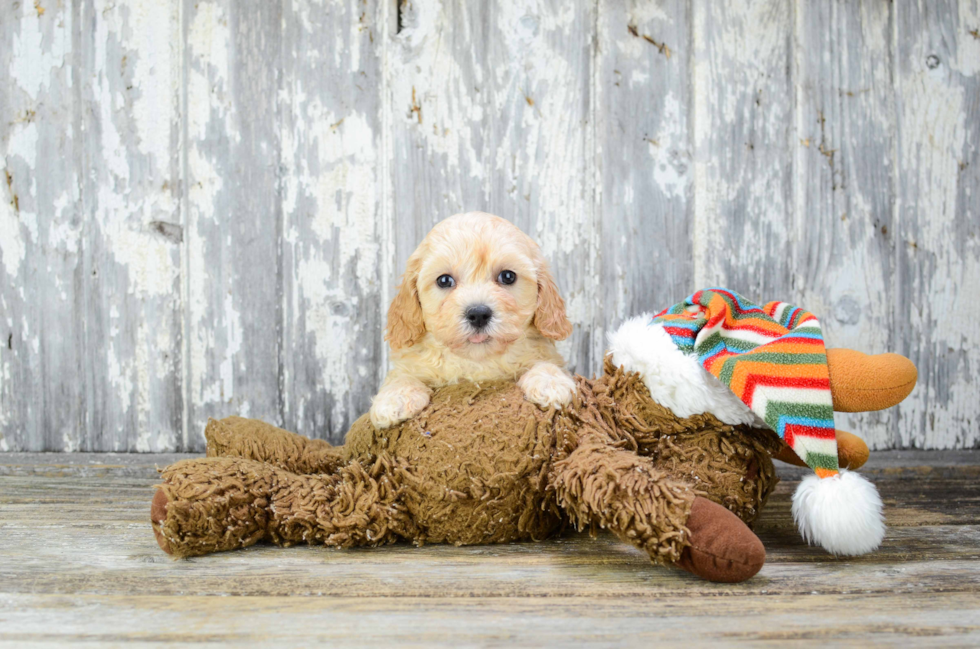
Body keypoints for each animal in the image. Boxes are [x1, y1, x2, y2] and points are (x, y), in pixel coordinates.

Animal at [374, 210, 576, 428]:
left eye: (507, 276)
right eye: (444, 280)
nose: (478, 314)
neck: (476, 361)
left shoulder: (545, 353)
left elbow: (546, 363)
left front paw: (551, 382)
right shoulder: (411, 362)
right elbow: (400, 375)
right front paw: (395, 398)